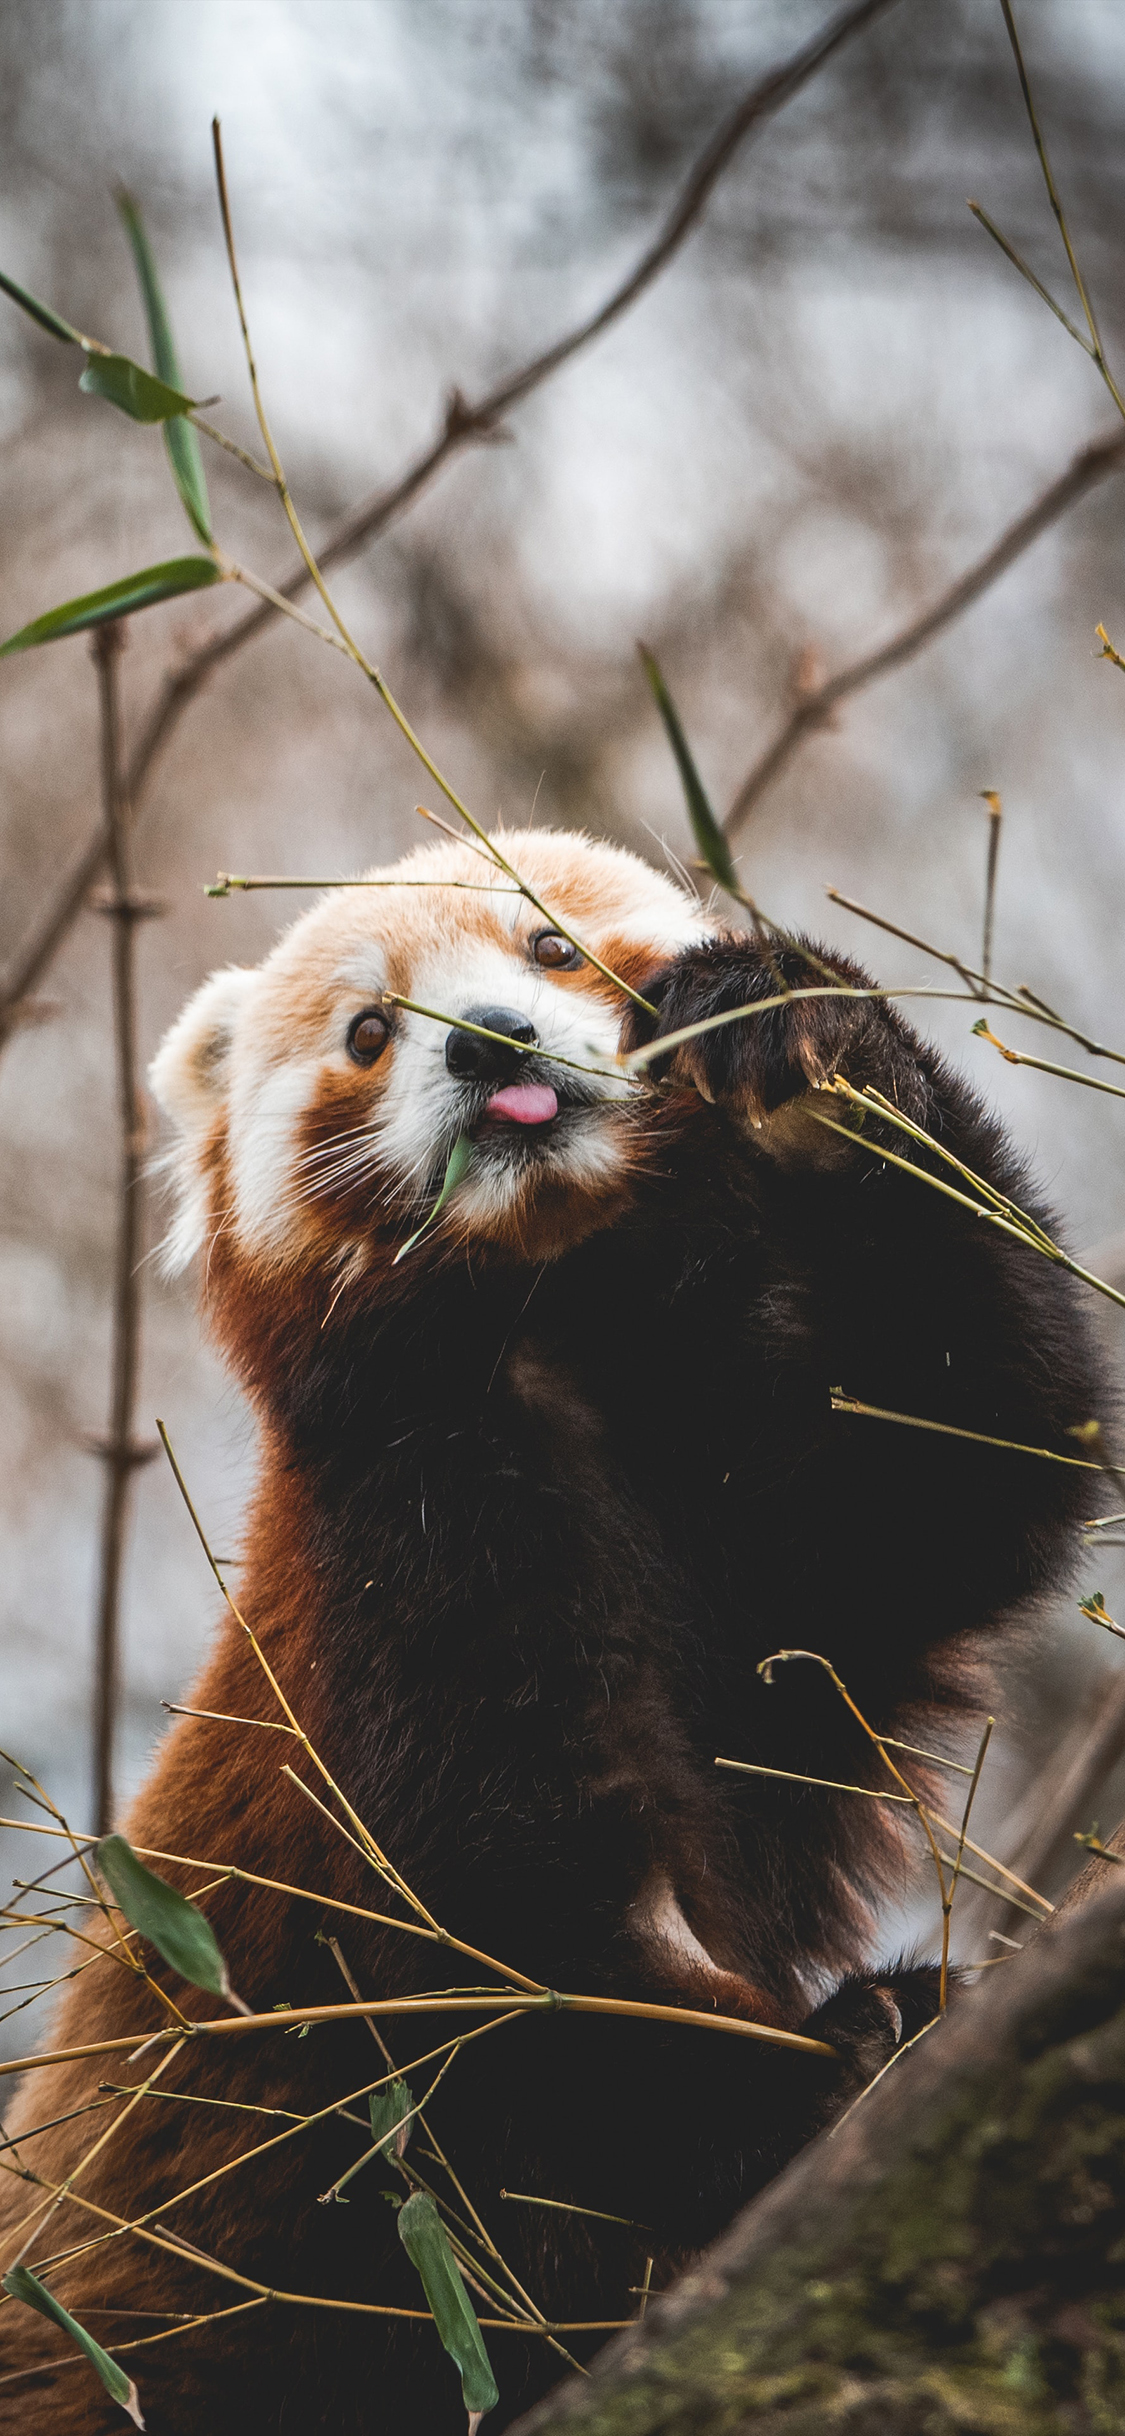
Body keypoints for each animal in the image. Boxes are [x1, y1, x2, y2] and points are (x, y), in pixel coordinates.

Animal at [0, 825, 1100, 2433]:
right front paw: (832, 2056)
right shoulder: (411, 1584)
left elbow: (982, 1458)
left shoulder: (756, 1539)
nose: (487, 1044)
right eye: (371, 1032)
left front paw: (802, 1050)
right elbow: (524, 1974)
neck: (558, 1327)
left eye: (549, 949)